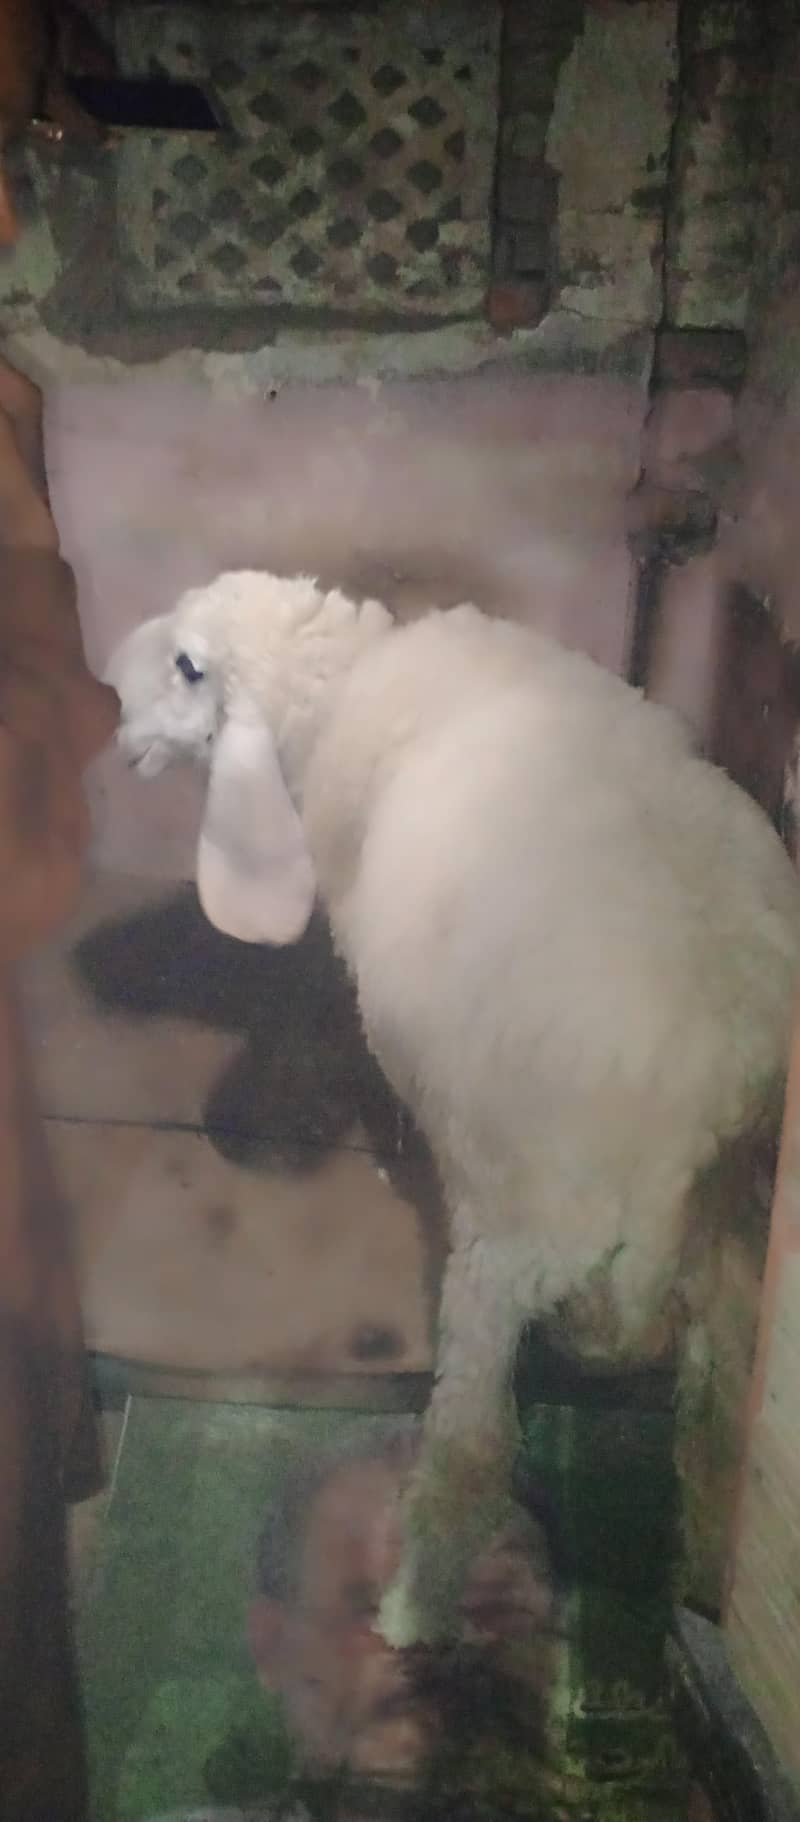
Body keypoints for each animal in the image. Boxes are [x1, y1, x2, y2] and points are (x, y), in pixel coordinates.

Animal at [106, 570, 800, 1648]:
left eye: (189, 667)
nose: (107, 690)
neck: (341, 683)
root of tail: (703, 1103)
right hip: (739, 1262)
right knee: (720, 1443)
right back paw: (693, 1586)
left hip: (510, 1243)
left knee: (473, 1450)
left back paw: (409, 1609)